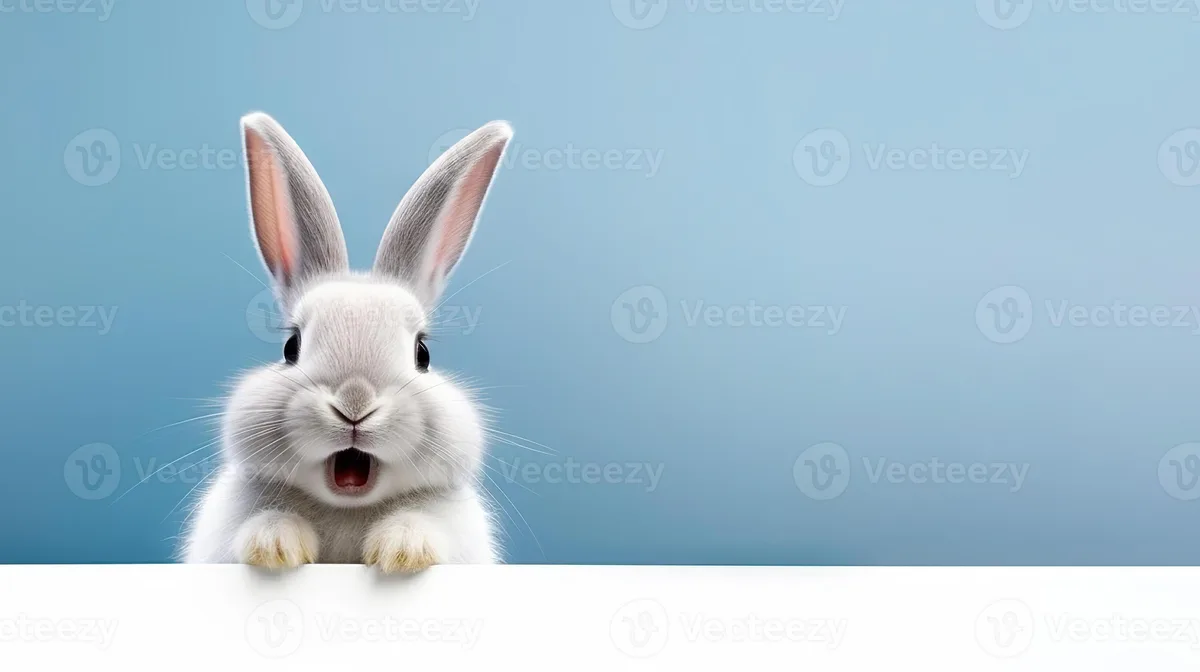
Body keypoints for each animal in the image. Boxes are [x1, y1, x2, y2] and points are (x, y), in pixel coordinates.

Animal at [179, 111, 513, 572]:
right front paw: (275, 546)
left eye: (423, 354)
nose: (355, 404)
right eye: (291, 348)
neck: (346, 505)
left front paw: (402, 551)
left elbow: (422, 524)